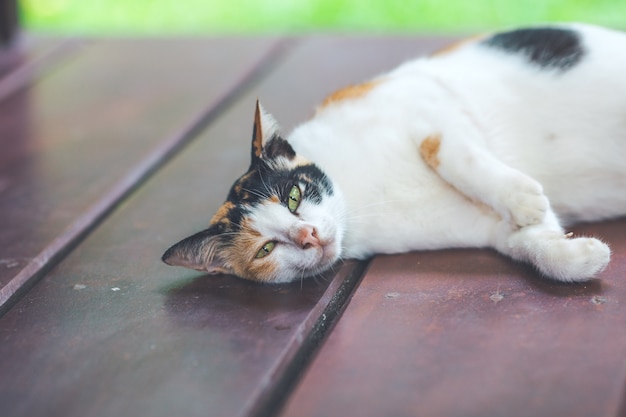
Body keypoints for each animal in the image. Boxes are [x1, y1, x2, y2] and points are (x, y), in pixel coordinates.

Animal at [162, 22, 624, 282]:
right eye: (265, 249)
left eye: (293, 196)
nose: (308, 236)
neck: (359, 197)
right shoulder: (486, 229)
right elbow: (530, 242)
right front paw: (579, 257)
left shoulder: (424, 99)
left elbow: (448, 153)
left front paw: (522, 198)